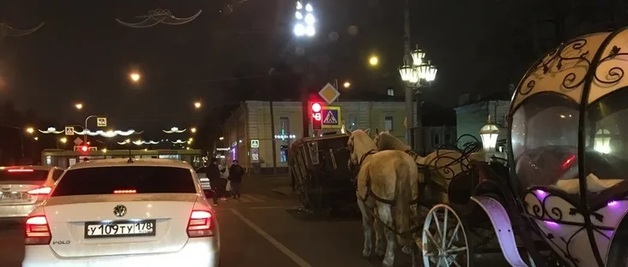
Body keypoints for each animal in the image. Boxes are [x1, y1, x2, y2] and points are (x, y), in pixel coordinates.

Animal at [348, 129, 422, 266]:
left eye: (348, 145)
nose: (349, 164)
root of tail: (399, 160)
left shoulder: (362, 203)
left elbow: (367, 225)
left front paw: (367, 250)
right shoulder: (376, 206)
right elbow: (378, 226)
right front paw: (379, 249)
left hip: (384, 206)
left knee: (390, 233)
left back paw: (388, 259)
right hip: (411, 205)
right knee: (413, 230)